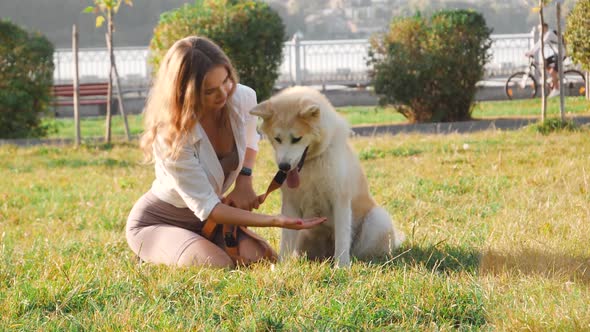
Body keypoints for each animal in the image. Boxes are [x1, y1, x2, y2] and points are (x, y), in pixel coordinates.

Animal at [250, 86, 408, 268]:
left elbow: (342, 237)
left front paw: (341, 267)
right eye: (277, 138)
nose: (283, 167)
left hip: (377, 220)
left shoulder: (340, 200)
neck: (311, 164)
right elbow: (286, 239)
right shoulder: (291, 204)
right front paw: (283, 267)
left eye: (296, 139)